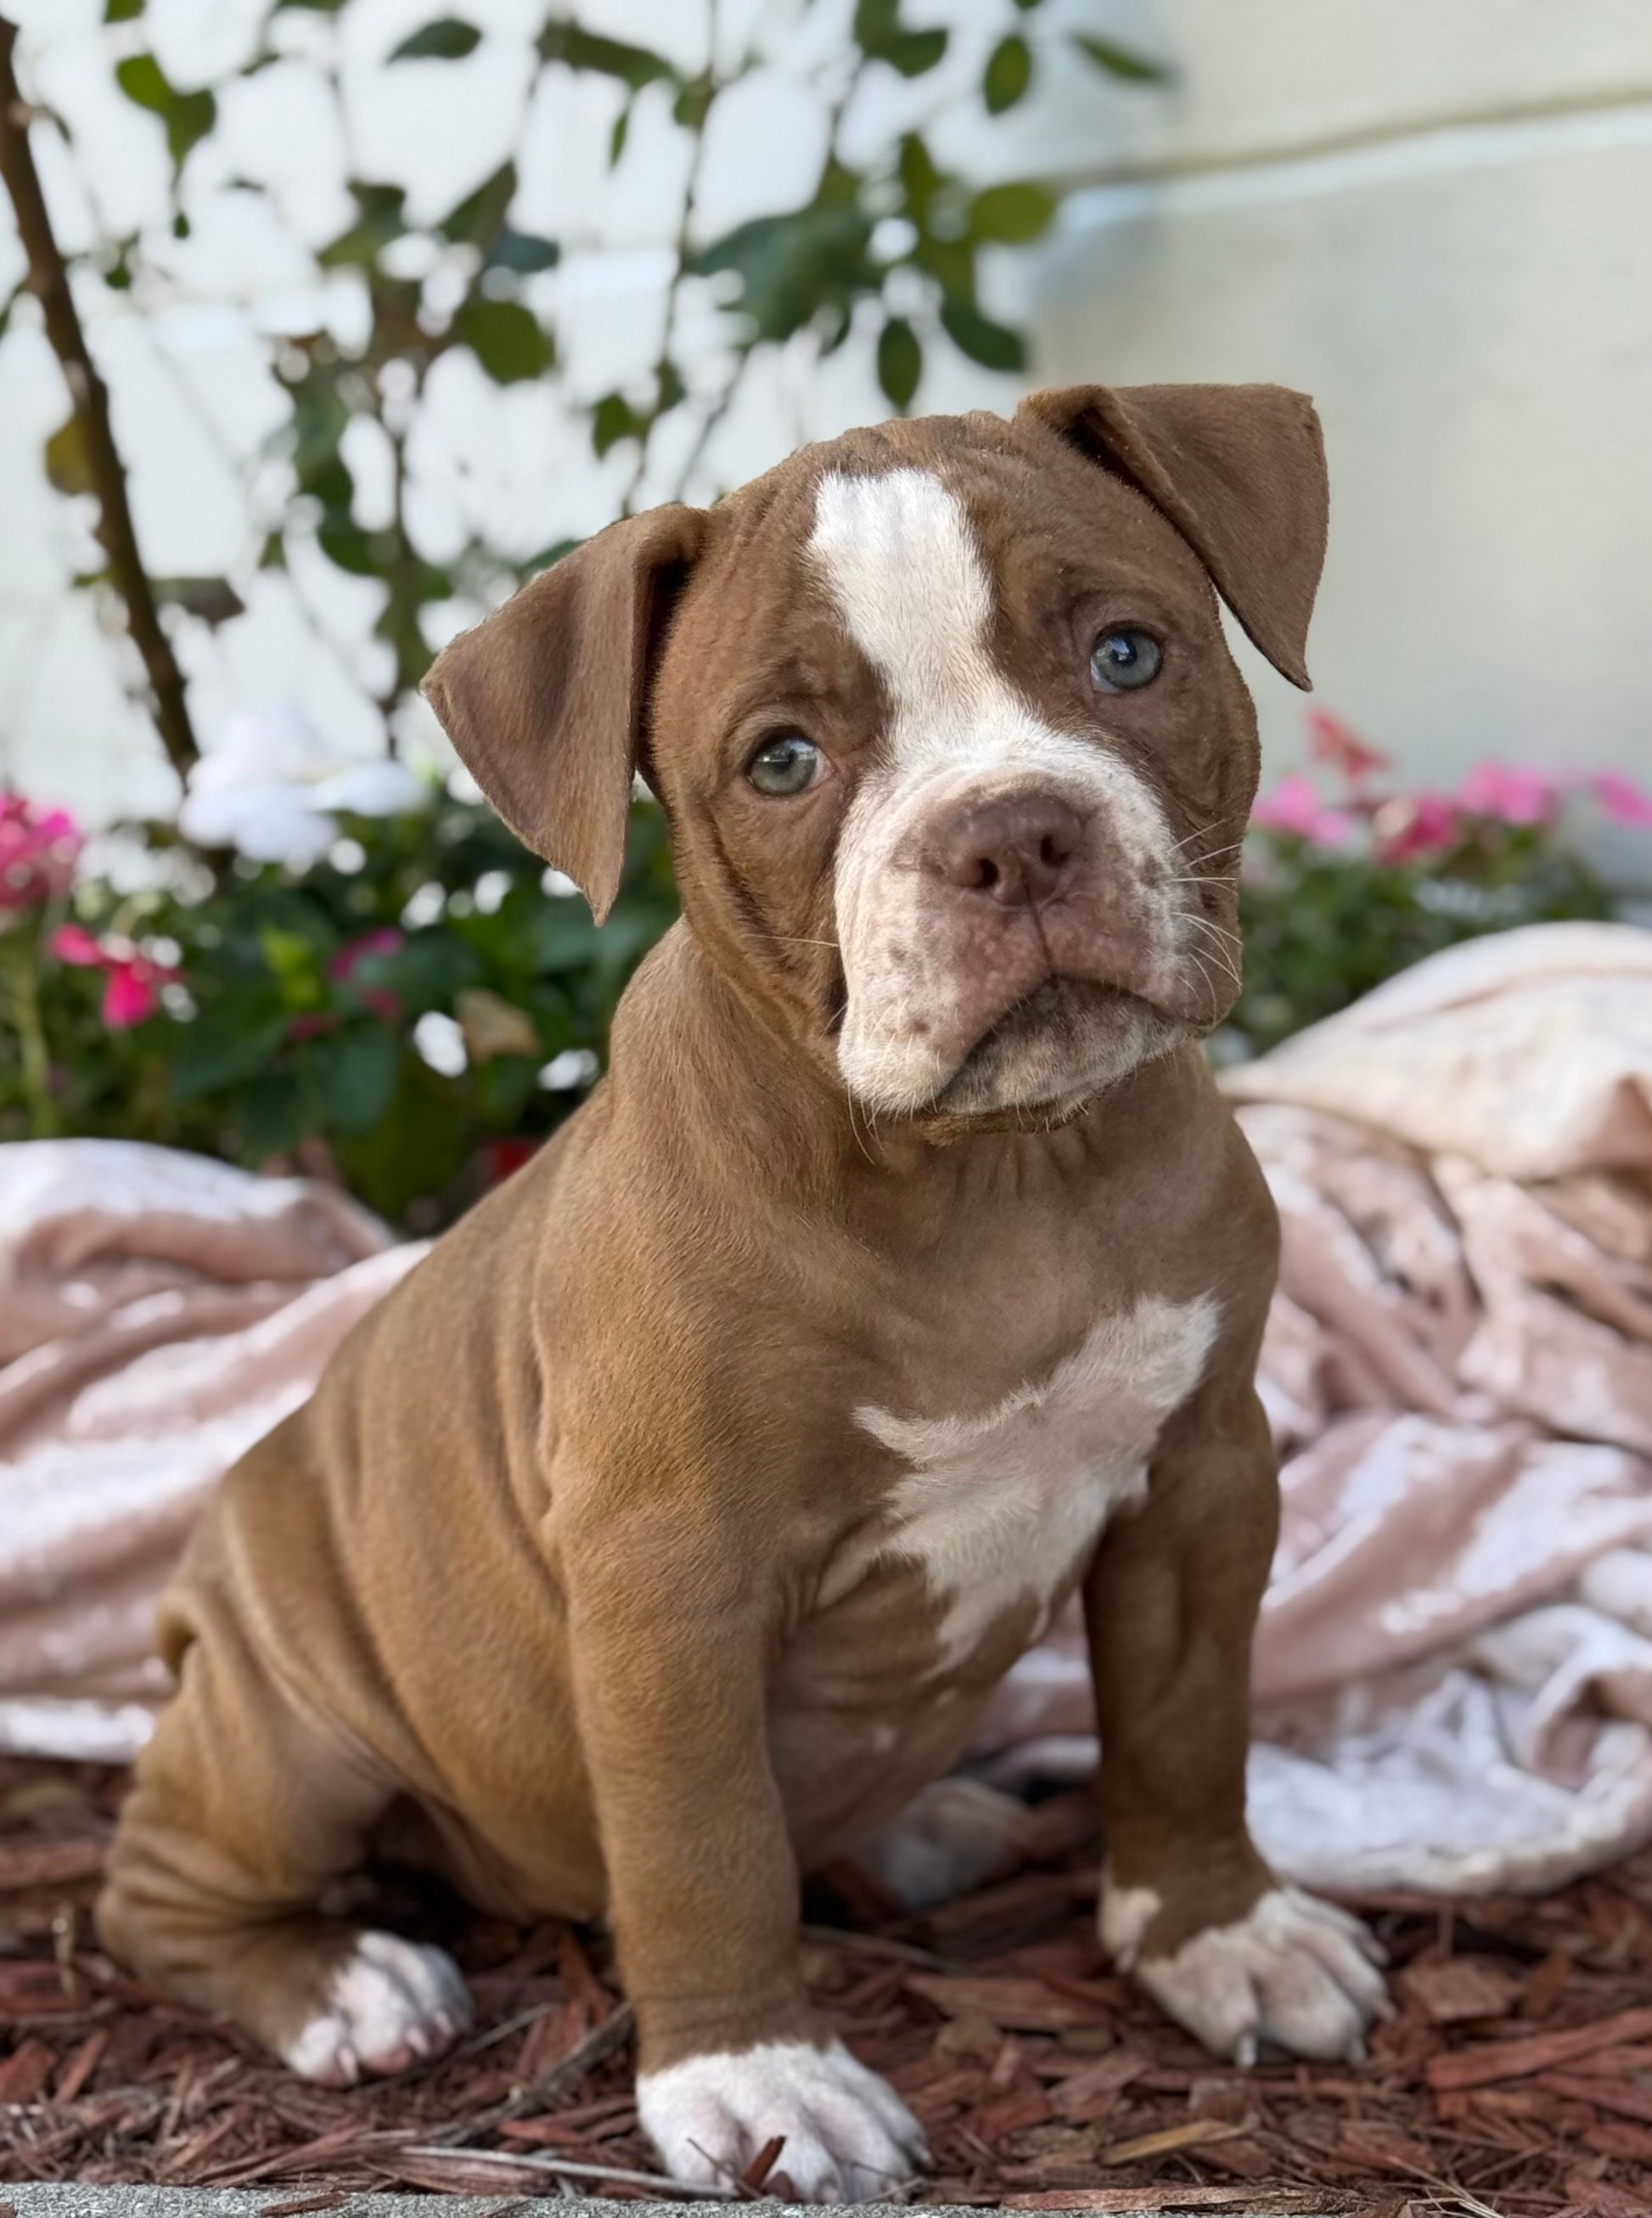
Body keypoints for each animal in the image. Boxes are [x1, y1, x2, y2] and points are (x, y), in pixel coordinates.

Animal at [99, 384, 1387, 2202]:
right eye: (782, 761)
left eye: (1128, 654)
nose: (1012, 834)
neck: (994, 1175)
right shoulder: (665, 1586)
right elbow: (704, 1841)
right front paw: (759, 2076)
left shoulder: (1203, 1475)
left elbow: (1192, 1721)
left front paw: (1222, 1934)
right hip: (292, 1726)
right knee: (160, 1885)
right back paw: (340, 1982)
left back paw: (921, 1822)